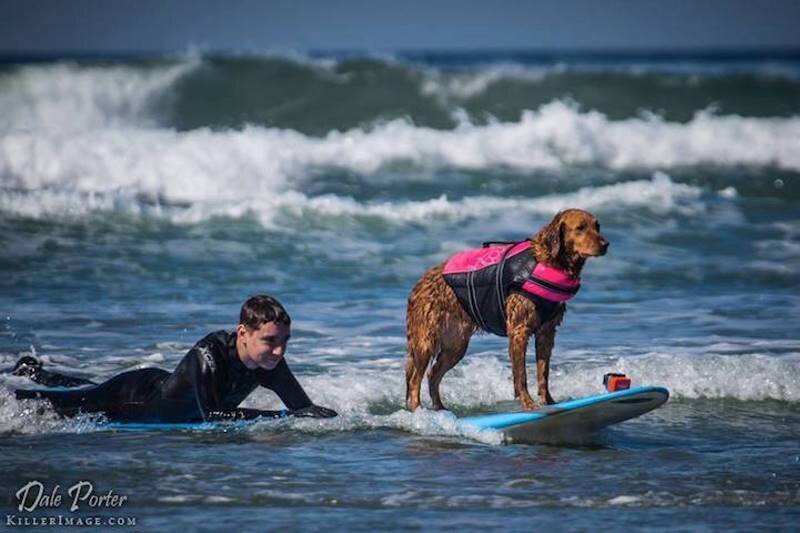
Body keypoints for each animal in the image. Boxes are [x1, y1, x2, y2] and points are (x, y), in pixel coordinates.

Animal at [406, 209, 608, 412]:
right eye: (580, 228)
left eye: (597, 226)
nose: (605, 245)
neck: (548, 261)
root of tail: (420, 282)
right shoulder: (519, 330)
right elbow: (521, 375)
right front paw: (528, 403)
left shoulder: (547, 332)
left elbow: (543, 372)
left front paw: (549, 401)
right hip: (425, 339)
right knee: (415, 379)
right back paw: (418, 410)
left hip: (455, 344)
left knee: (433, 374)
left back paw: (439, 409)